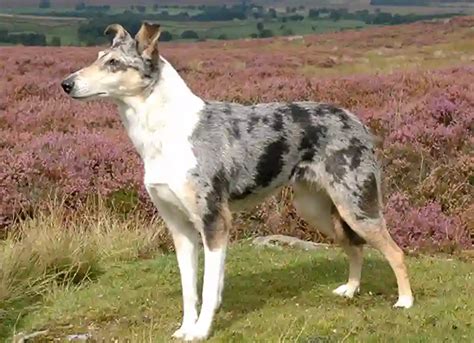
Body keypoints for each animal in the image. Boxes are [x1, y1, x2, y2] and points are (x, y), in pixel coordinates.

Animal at [61, 23, 412, 342]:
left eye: (114, 63)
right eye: (98, 57)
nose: (65, 84)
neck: (164, 132)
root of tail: (355, 120)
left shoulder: (214, 221)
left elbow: (208, 287)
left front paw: (201, 331)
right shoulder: (180, 229)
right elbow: (189, 290)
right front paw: (186, 328)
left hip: (356, 206)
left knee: (395, 251)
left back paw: (405, 301)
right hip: (316, 209)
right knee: (355, 247)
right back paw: (351, 289)